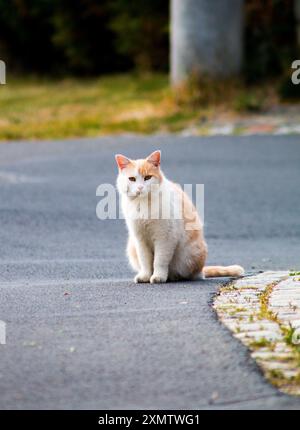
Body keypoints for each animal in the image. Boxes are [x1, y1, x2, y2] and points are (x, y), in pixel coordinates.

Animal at [115, 149, 244, 284]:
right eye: (132, 179)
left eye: (147, 177)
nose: (140, 188)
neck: (143, 203)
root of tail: (201, 271)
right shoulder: (140, 239)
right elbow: (145, 260)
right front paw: (145, 276)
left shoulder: (165, 237)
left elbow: (159, 261)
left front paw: (158, 276)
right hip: (132, 246)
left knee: (185, 274)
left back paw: (173, 277)